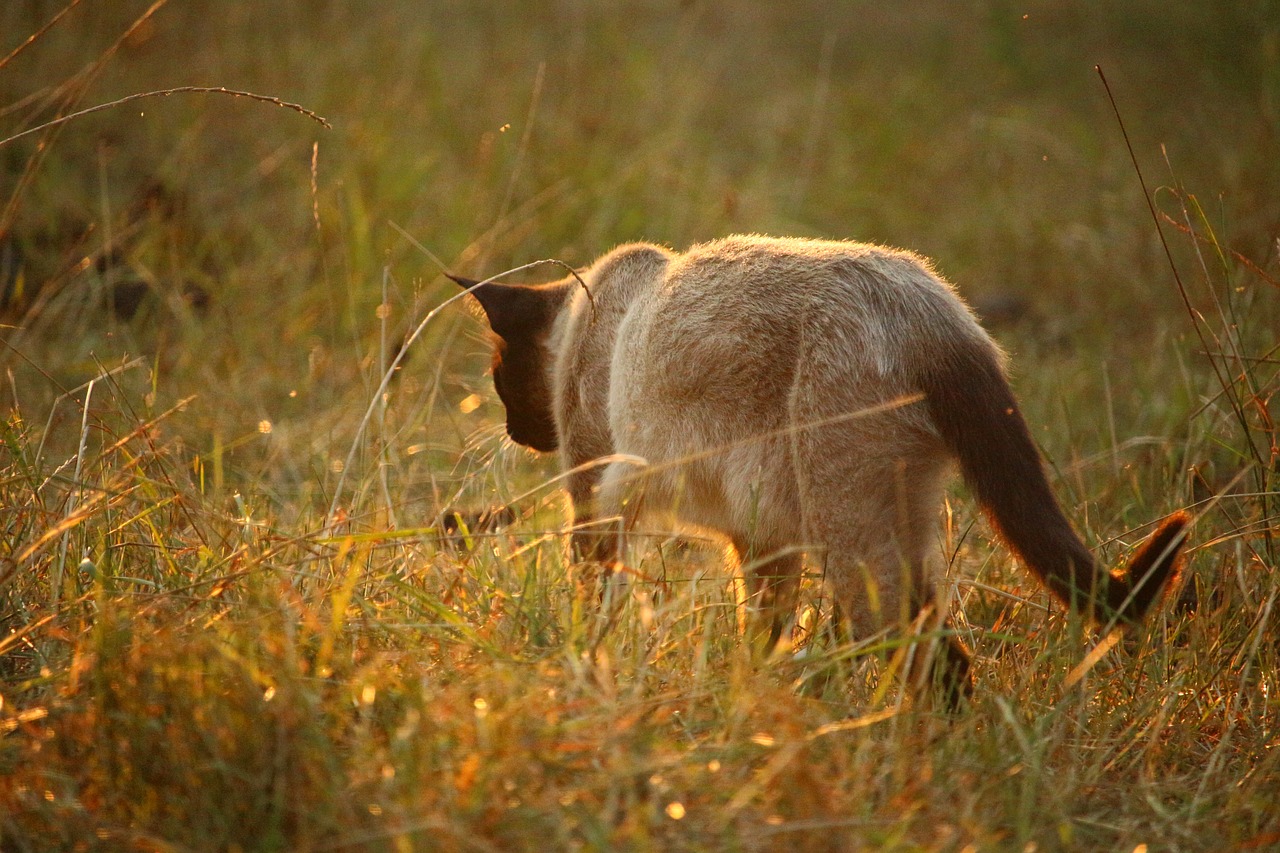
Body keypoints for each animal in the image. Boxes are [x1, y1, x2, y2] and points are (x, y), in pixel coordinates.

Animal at [453, 230, 1187, 696]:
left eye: (497, 378)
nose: (516, 432)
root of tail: (940, 317)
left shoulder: (593, 490)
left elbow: (592, 595)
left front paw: (586, 662)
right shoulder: (760, 538)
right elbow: (765, 625)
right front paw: (753, 693)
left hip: (851, 532)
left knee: (927, 655)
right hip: (900, 525)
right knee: (934, 645)